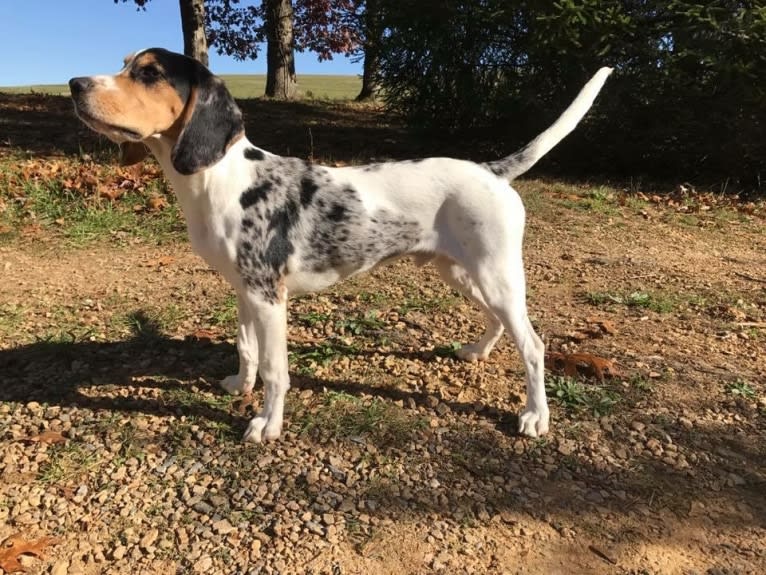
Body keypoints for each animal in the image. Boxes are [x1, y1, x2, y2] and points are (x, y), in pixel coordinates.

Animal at [69, 50, 616, 446]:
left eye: (149, 72)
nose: (74, 84)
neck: (220, 180)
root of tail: (491, 170)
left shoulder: (269, 297)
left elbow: (275, 370)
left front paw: (266, 425)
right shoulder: (244, 291)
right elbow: (247, 350)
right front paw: (238, 387)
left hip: (495, 274)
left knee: (534, 346)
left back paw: (535, 416)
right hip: (463, 272)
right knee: (501, 324)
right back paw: (476, 352)